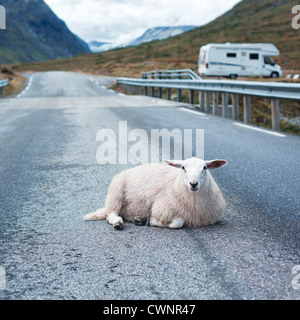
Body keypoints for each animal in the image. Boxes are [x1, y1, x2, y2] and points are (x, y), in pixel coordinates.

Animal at [83, 156, 226, 229]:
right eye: (183, 168)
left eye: (204, 168)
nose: (193, 184)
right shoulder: (161, 209)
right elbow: (178, 223)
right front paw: (150, 221)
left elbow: (179, 223)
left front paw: (145, 220)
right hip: (115, 193)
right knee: (111, 215)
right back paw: (118, 222)